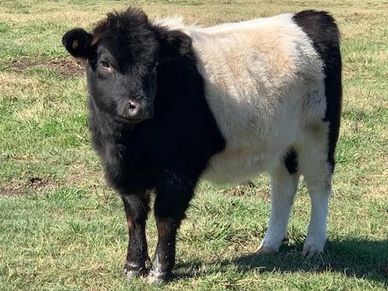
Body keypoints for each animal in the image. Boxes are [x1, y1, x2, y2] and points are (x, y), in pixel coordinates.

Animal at [62, 7, 342, 286]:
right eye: (105, 63)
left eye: (154, 65)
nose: (139, 106)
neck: (130, 144)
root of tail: (309, 15)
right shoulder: (125, 173)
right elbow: (135, 217)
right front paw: (133, 267)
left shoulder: (179, 170)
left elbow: (165, 218)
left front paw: (159, 271)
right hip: (281, 141)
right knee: (283, 186)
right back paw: (269, 245)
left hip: (319, 134)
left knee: (318, 185)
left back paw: (313, 244)